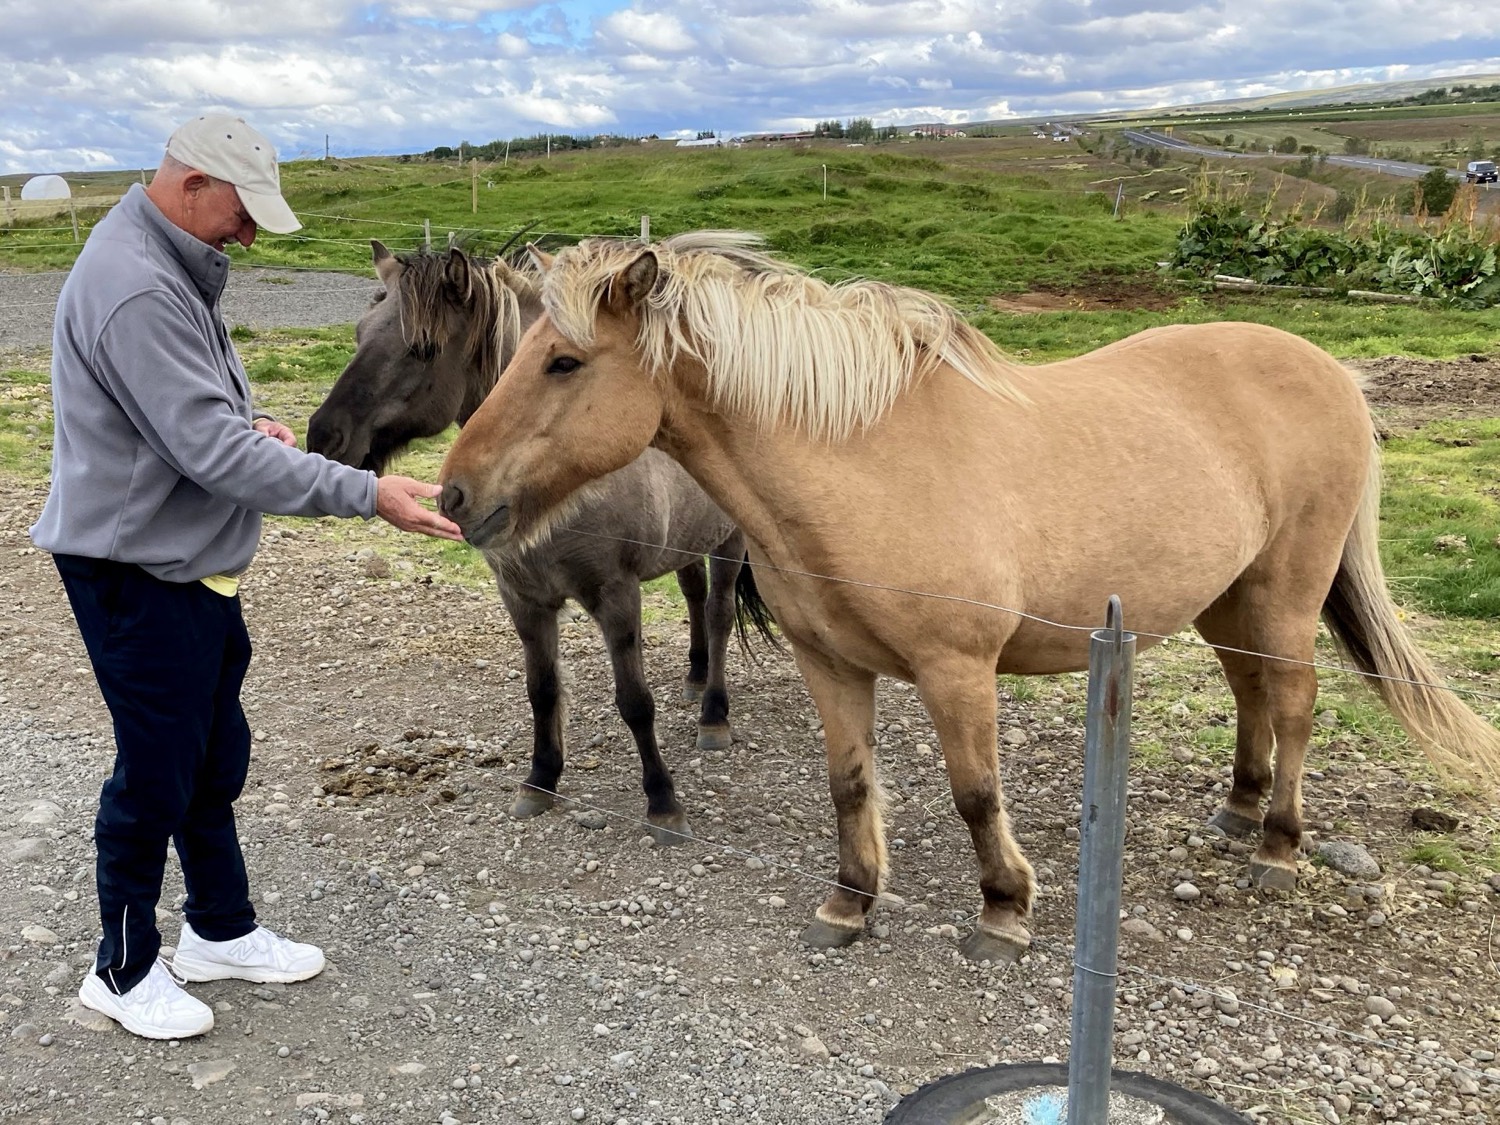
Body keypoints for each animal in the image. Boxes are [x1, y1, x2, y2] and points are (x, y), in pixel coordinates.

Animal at [306, 239, 746, 844]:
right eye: (358, 333)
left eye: (422, 348)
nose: (322, 438)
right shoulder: (522, 598)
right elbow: (542, 690)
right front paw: (540, 780)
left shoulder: (617, 595)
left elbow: (634, 702)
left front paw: (662, 802)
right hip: (685, 544)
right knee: (696, 598)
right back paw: (695, 676)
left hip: (732, 541)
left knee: (721, 613)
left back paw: (714, 714)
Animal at [435, 230, 1500, 962]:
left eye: (565, 361)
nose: (454, 496)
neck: (861, 463)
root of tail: (1334, 373)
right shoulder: (832, 666)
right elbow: (850, 782)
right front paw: (851, 899)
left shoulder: (959, 671)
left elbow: (975, 792)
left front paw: (1004, 908)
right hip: (1225, 595)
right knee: (1250, 693)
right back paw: (1237, 811)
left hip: (1284, 592)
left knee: (1294, 701)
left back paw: (1276, 845)